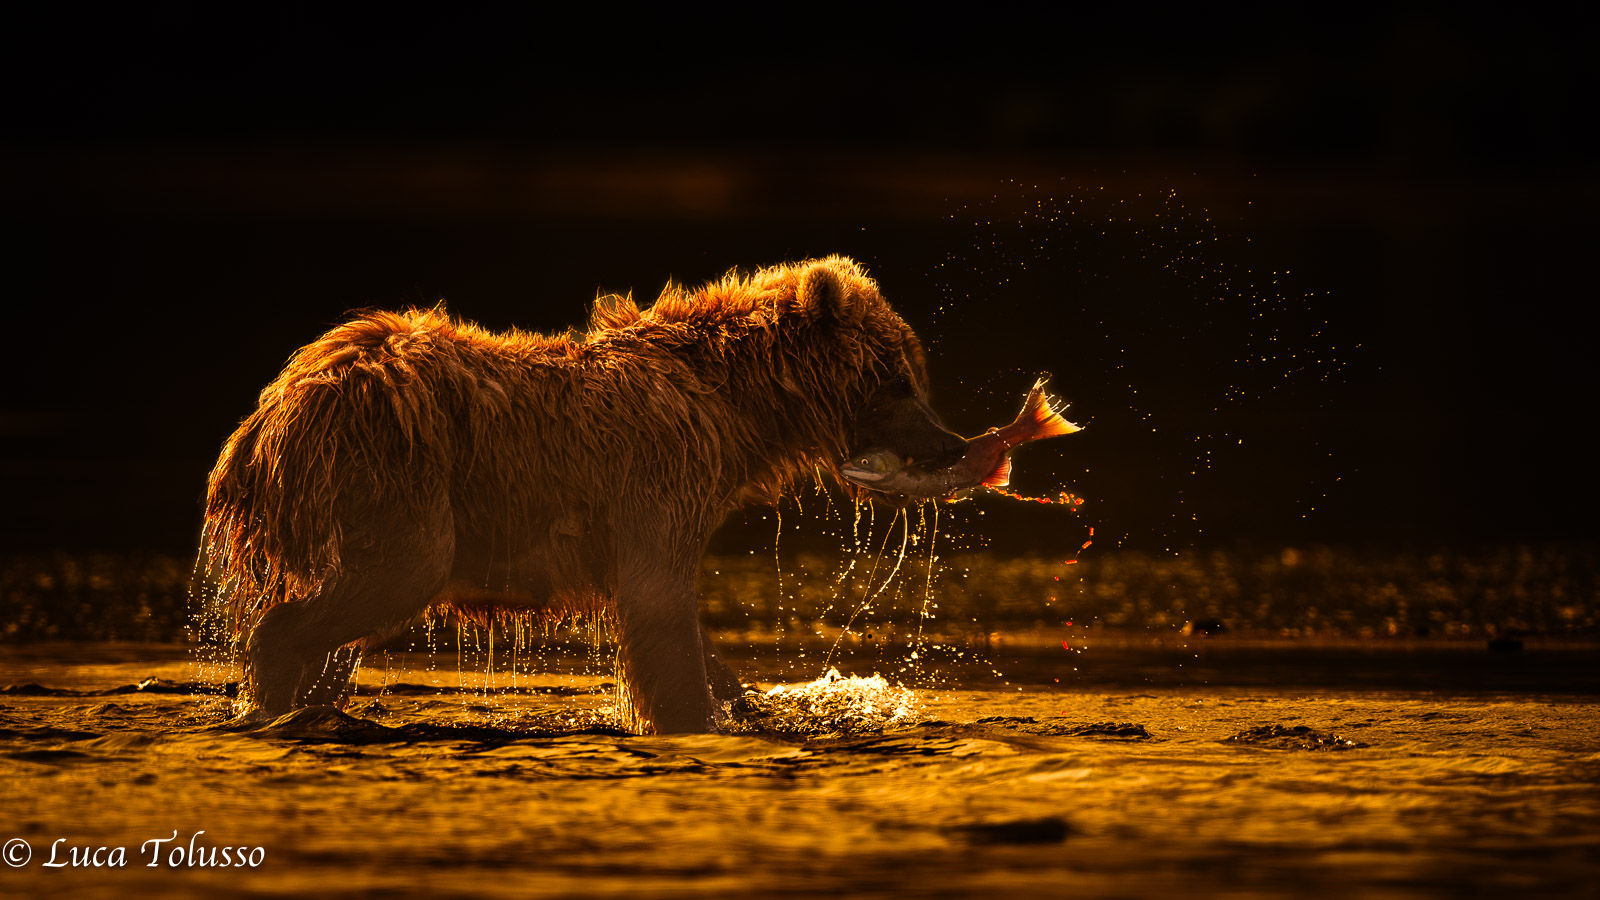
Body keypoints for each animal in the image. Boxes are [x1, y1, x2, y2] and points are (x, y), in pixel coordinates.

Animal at [203, 256, 973, 733]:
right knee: (381, 584)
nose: (953, 444)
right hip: (395, 477)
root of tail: (272, 412)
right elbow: (662, 617)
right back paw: (269, 697)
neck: (737, 411)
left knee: (340, 636)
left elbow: (688, 633)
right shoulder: (657, 480)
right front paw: (693, 716)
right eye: (897, 378)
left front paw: (746, 702)